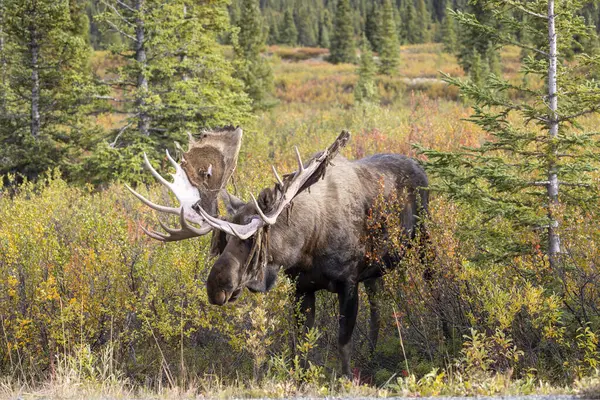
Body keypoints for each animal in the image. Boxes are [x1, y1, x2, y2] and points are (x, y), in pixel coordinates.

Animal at [129, 130, 428, 376]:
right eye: (224, 240)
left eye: (250, 239)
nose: (215, 288)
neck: (307, 245)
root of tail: (418, 165)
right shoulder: (302, 287)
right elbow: (302, 346)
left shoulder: (348, 282)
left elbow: (343, 343)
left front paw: (346, 379)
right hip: (375, 270)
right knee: (377, 306)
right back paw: (372, 353)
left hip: (424, 241)